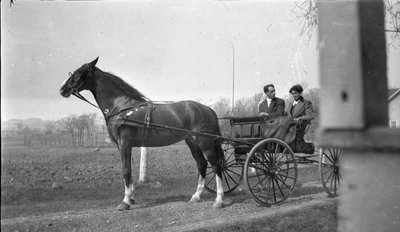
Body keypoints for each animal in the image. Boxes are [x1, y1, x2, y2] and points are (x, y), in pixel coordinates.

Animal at [60, 57, 227, 210]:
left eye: (81, 71)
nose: (63, 89)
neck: (120, 108)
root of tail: (207, 109)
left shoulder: (125, 143)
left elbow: (126, 170)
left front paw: (126, 202)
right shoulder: (121, 146)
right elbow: (129, 171)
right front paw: (131, 198)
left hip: (204, 142)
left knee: (216, 165)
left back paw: (219, 200)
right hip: (192, 142)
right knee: (202, 164)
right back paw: (196, 196)